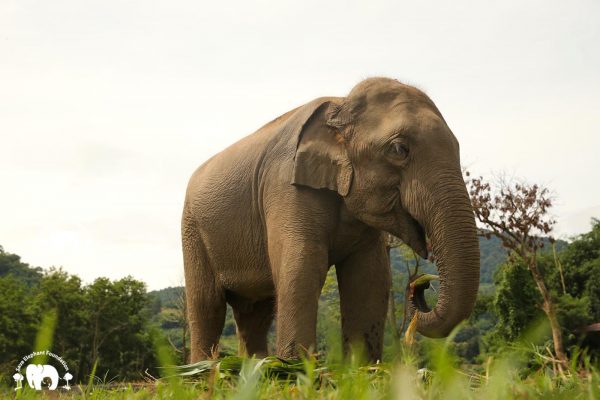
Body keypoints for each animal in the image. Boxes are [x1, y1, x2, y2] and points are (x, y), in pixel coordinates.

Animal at [180, 77, 480, 362]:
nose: (422, 285)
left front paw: (361, 368)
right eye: (398, 149)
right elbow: (302, 265)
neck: (340, 104)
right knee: (207, 304)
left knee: (255, 313)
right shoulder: (286, 185)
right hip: (192, 230)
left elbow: (369, 277)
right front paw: (295, 367)